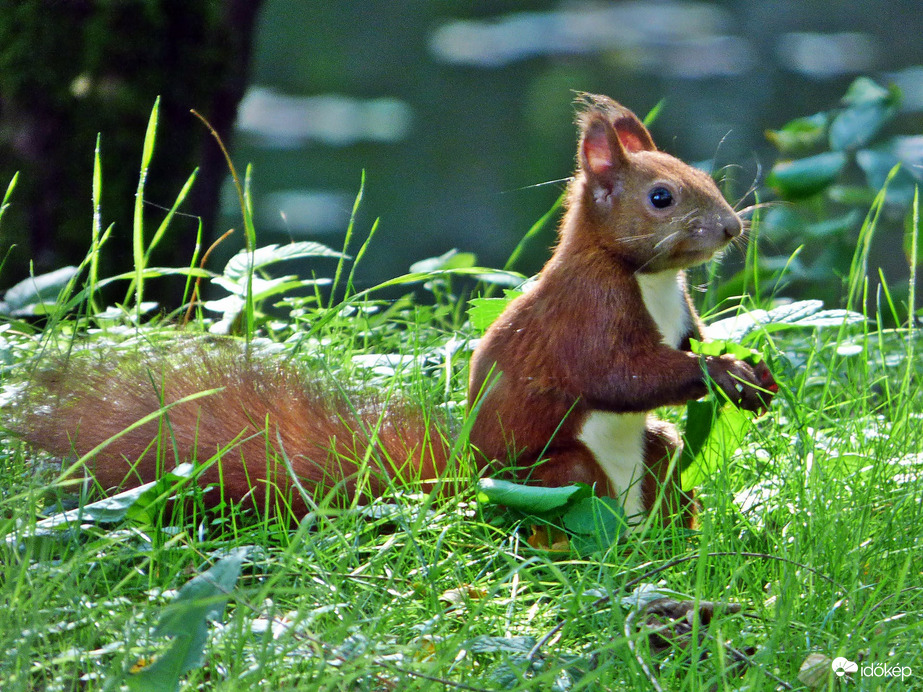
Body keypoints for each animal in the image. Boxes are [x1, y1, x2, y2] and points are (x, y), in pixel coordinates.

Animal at [10, 94, 776, 520]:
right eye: (660, 198)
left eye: (701, 174)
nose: (732, 228)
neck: (647, 279)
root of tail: (461, 483)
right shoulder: (589, 316)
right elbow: (620, 375)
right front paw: (723, 375)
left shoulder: (680, 317)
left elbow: (685, 346)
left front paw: (756, 374)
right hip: (560, 475)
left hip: (654, 456)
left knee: (664, 465)